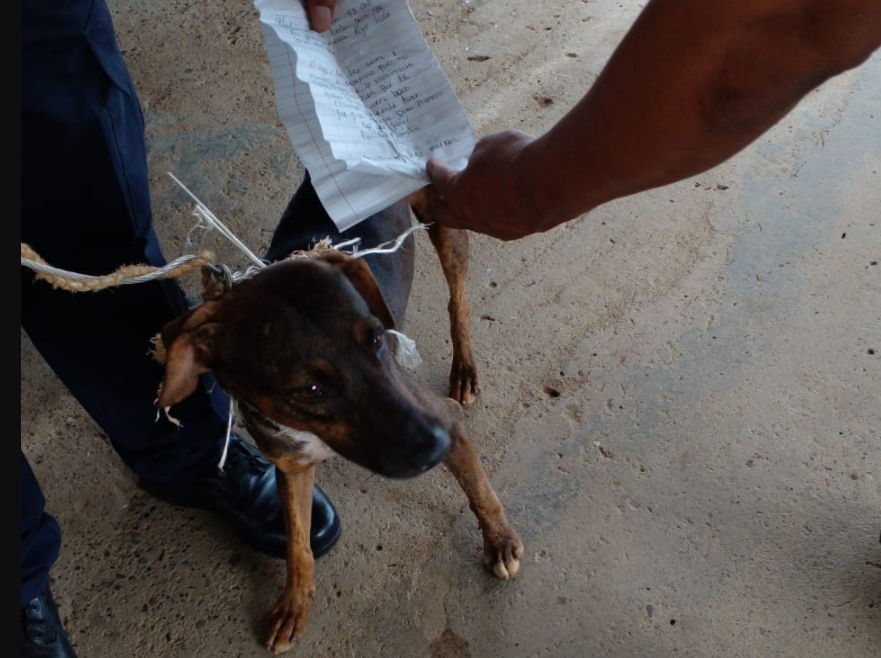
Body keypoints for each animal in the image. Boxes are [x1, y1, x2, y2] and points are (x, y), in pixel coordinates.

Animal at [156, 177, 524, 652]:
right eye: (309, 389)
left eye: (376, 339)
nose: (438, 444)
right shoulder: (291, 465)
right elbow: (298, 545)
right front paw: (294, 604)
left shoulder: (447, 420)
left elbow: (479, 490)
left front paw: (499, 541)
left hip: (444, 221)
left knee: (457, 297)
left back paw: (465, 368)